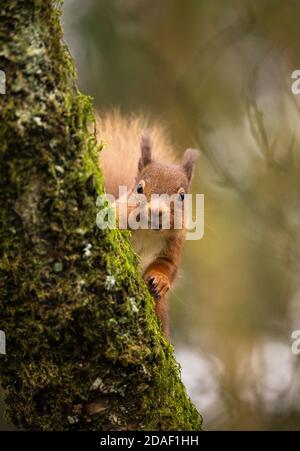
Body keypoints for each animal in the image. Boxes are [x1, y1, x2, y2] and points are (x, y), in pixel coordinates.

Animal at [97, 112, 198, 340]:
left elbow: (168, 267)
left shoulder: (174, 244)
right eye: (140, 188)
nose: (156, 212)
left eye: (182, 196)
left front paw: (159, 280)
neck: (147, 233)